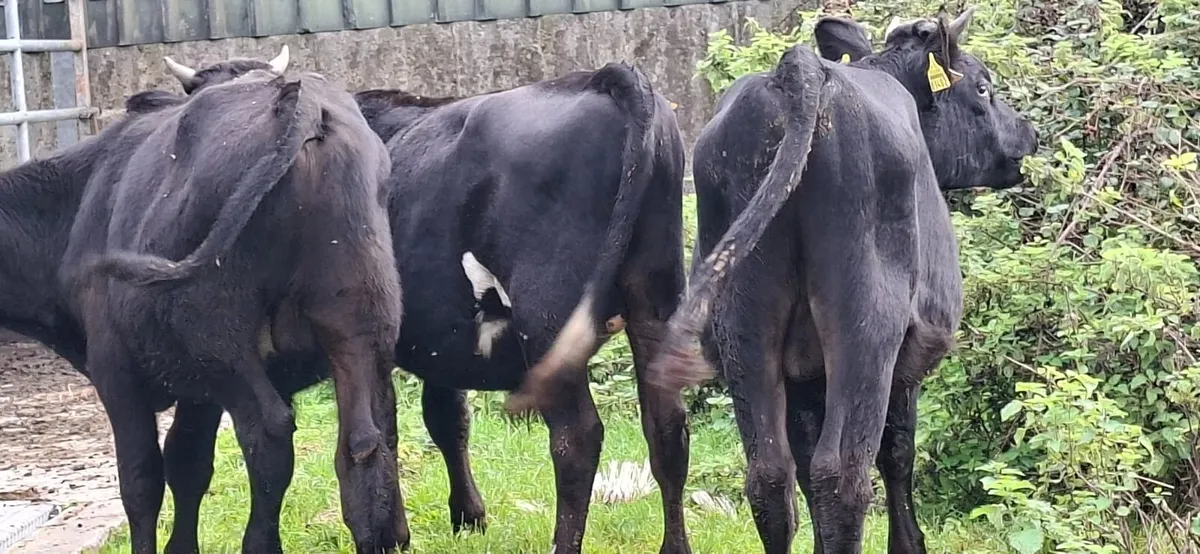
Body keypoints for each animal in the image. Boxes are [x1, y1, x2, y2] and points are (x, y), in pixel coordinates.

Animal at [0, 48, 407, 554]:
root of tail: (302, 104)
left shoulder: (117, 370)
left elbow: (142, 479)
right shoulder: (199, 391)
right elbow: (188, 463)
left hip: (219, 340)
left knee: (268, 433)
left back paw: (261, 543)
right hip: (358, 323)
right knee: (366, 439)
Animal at [352, 62, 690, 554]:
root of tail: (601, 77)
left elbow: (382, 428)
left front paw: (389, 535)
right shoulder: (442, 337)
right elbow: (446, 417)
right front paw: (468, 516)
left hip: (547, 313)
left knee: (576, 438)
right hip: (656, 297)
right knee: (667, 427)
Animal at [638, 8, 1038, 554]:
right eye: (982, 86)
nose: (1028, 132)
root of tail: (799, 71)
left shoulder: (804, 374)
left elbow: (805, 468)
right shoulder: (906, 357)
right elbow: (897, 451)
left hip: (742, 322)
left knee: (771, 477)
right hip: (867, 323)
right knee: (843, 474)